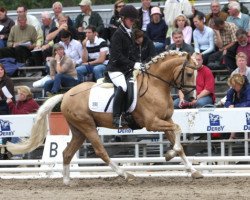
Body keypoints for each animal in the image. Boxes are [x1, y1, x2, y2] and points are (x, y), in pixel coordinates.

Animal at [6, 50, 203, 184]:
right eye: (189, 73)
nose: (191, 99)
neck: (155, 85)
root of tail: (66, 94)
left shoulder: (166, 120)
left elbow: (179, 145)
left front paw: (193, 171)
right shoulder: (152, 123)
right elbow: (178, 130)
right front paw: (169, 154)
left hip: (79, 131)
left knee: (67, 152)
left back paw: (67, 181)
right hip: (87, 127)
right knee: (101, 151)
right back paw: (125, 174)